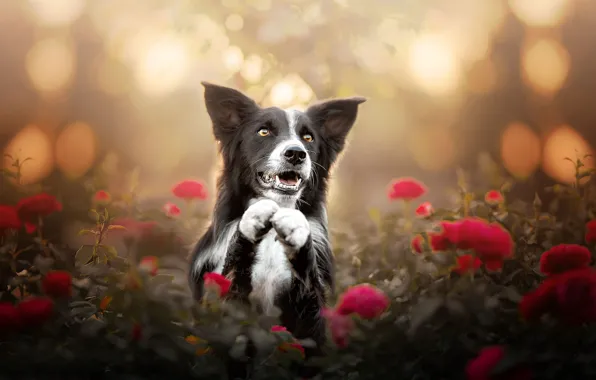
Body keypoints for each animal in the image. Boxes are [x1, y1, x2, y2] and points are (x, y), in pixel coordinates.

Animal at [189, 81, 366, 376]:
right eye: (264, 131)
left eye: (308, 138)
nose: (295, 153)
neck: (272, 238)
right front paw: (252, 221)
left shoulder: (307, 326)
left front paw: (296, 229)